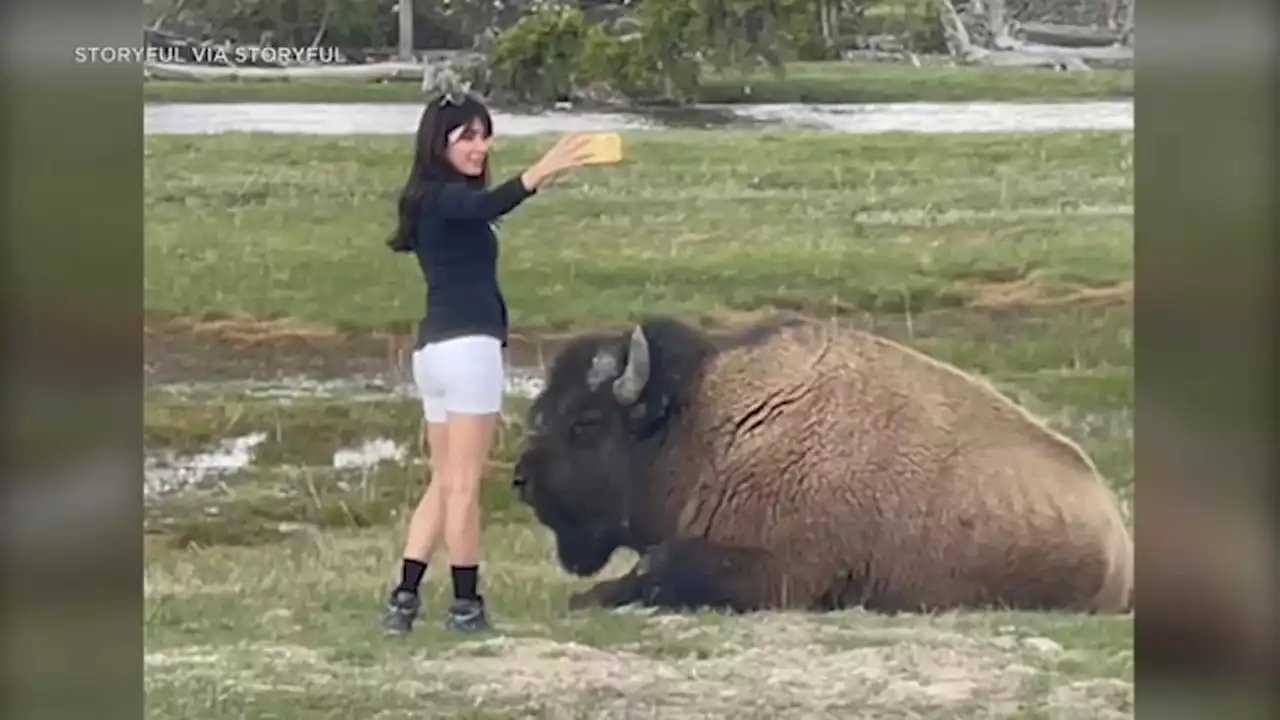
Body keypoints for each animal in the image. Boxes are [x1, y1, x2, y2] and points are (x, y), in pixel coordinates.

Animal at [509, 313, 1131, 609]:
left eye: (585, 422)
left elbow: (657, 568)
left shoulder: (779, 572)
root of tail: (1116, 532)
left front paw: (586, 598)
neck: (708, 422)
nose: (521, 480)